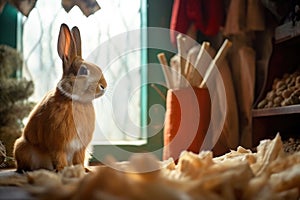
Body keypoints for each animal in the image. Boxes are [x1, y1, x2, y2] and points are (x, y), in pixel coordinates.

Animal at [12, 22, 106, 171]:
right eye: (83, 71)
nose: (104, 86)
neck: (73, 100)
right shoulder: (57, 145)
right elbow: (58, 157)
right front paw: (62, 170)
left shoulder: (80, 148)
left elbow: (79, 159)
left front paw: (83, 170)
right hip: (23, 148)